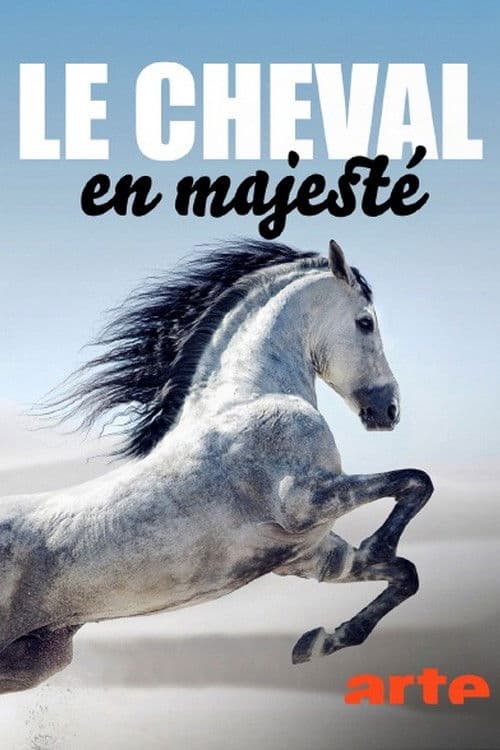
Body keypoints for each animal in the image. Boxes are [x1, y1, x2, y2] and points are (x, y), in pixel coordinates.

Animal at [0, 238, 433, 693]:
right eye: (365, 322)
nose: (388, 410)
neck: (249, 396)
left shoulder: (310, 555)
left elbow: (406, 573)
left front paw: (316, 643)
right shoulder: (304, 500)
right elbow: (415, 481)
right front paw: (378, 542)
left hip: (37, 658)